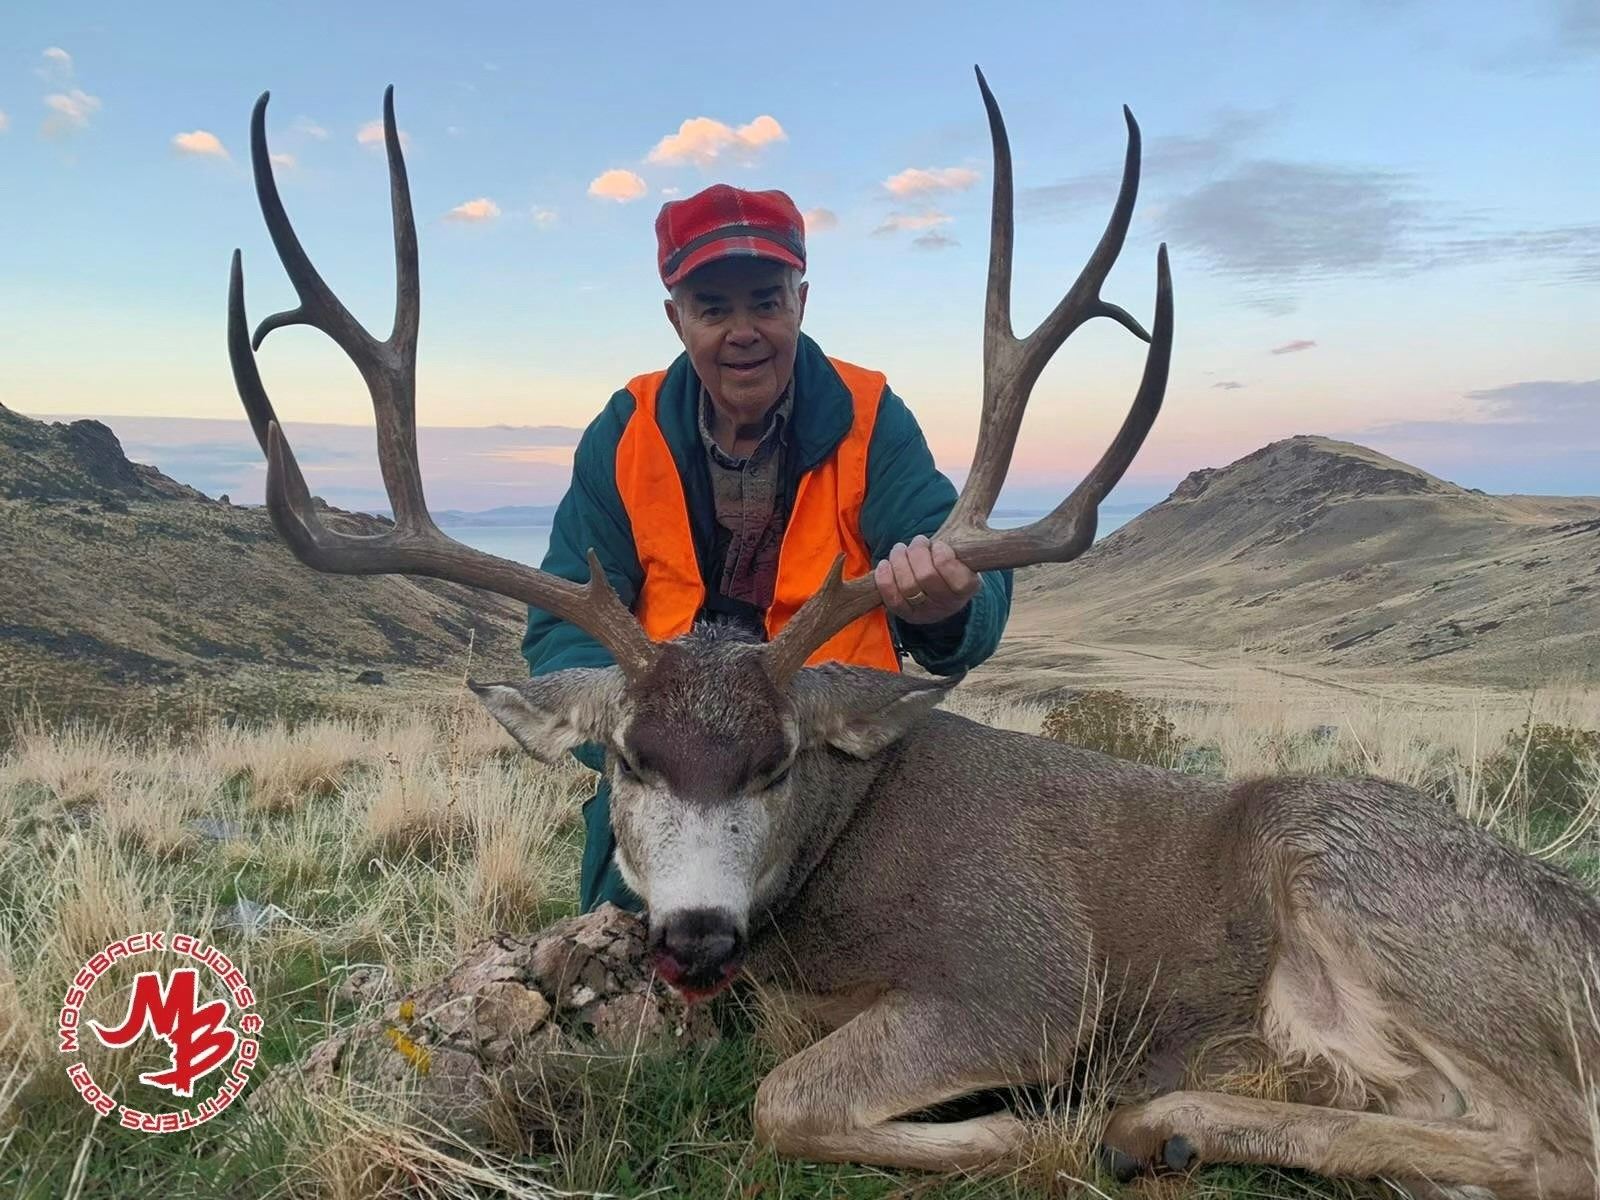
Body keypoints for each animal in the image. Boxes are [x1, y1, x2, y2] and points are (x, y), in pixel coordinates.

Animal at [226, 71, 1600, 1197]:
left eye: (778, 761)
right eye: (624, 757)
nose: (695, 936)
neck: (833, 886)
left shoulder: (1023, 974)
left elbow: (786, 1100)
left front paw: (1026, 1128)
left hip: (1343, 864)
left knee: (1550, 1146)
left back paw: (1154, 1122)